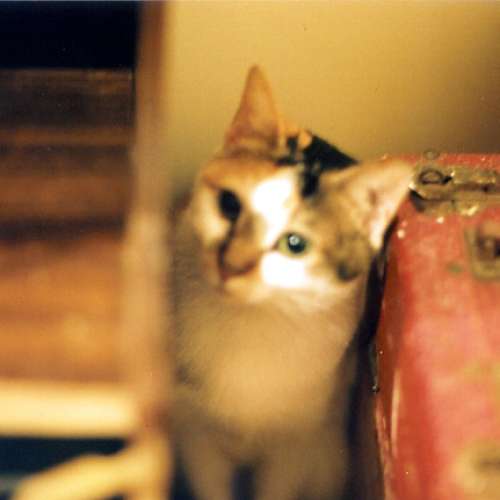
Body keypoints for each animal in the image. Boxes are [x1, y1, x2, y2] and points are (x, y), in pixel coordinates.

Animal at [172, 66, 412, 500]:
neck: (251, 324)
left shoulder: (295, 447)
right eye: (229, 204)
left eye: (295, 244)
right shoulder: (196, 436)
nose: (231, 266)